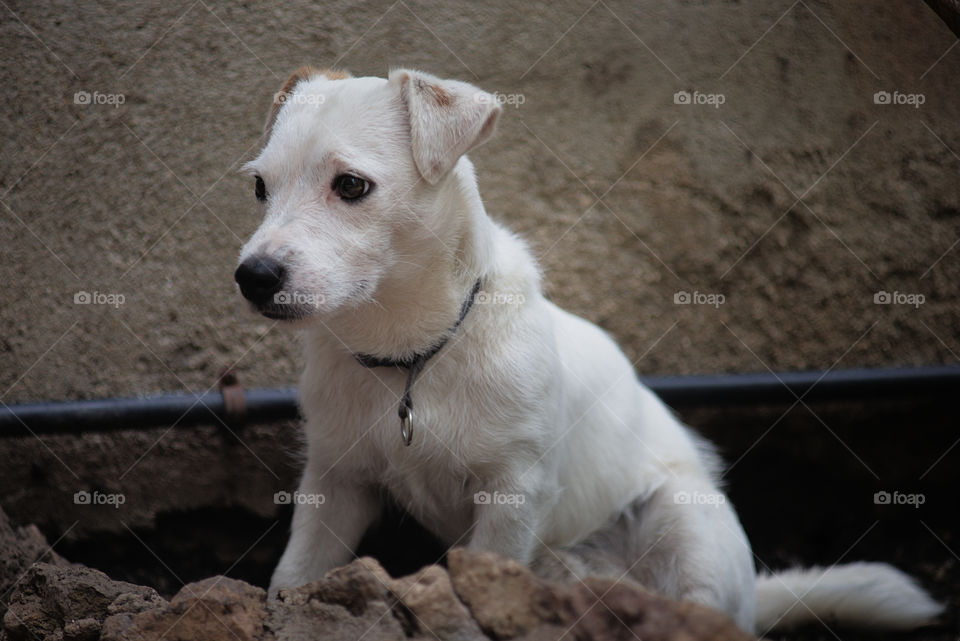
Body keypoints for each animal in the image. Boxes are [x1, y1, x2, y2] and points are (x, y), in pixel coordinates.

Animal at [234, 67, 944, 632]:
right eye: (260, 188)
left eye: (351, 186)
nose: (253, 276)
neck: (412, 356)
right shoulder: (335, 483)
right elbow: (295, 575)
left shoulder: (512, 495)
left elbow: (483, 574)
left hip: (689, 527)